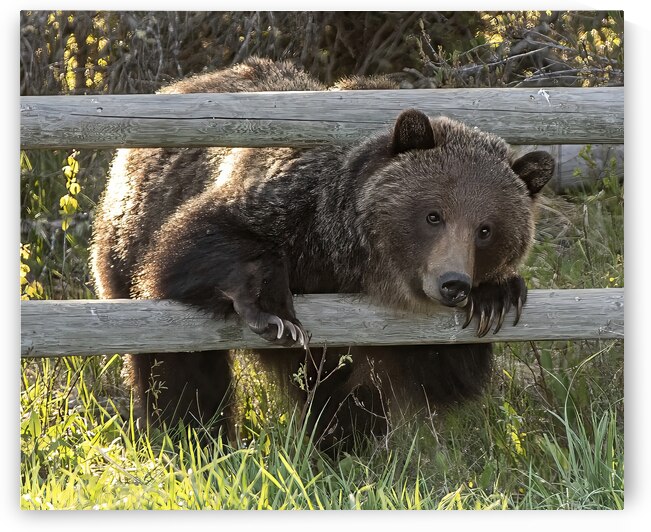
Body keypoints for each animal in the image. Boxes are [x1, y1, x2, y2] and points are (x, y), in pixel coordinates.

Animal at [90, 57, 555, 451]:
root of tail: (181, 84)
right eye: (433, 215)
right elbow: (195, 241)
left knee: (338, 390)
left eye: (485, 229)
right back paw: (192, 438)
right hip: (128, 245)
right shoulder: (288, 204)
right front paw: (270, 306)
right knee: (178, 370)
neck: (347, 259)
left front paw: (496, 295)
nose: (453, 284)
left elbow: (441, 374)